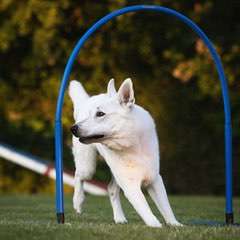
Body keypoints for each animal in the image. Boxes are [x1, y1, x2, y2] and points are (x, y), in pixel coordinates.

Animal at [68, 78, 181, 227]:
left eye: (100, 114)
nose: (73, 128)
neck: (133, 145)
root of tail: (87, 100)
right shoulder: (130, 184)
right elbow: (145, 208)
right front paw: (156, 225)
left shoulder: (154, 179)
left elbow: (166, 206)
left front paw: (175, 224)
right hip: (88, 168)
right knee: (78, 176)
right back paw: (78, 202)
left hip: (114, 173)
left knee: (111, 189)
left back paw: (119, 218)